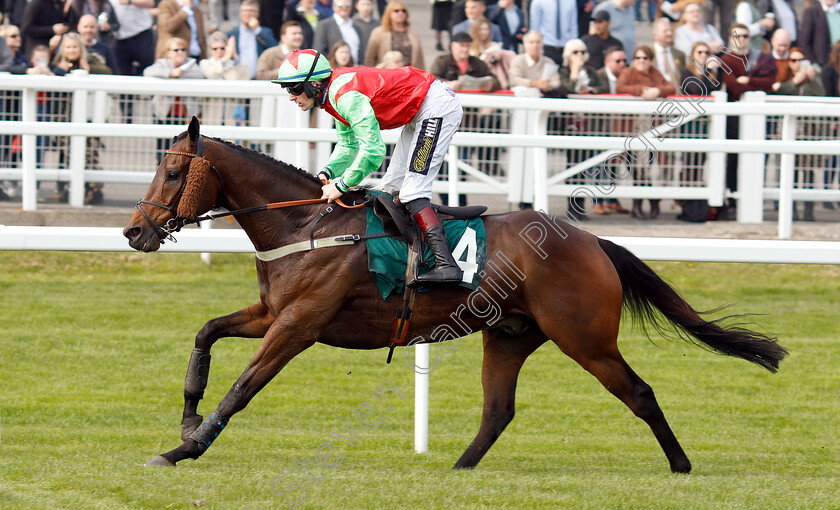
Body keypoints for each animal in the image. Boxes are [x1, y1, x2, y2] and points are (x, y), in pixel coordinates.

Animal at [123, 117, 788, 472]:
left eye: (173, 172)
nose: (134, 231)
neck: (304, 224)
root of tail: (592, 242)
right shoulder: (272, 313)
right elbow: (206, 333)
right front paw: (187, 419)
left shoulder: (299, 325)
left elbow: (242, 387)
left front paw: (184, 449)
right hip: (511, 335)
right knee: (498, 411)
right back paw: (459, 467)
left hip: (586, 338)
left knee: (640, 392)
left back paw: (681, 465)